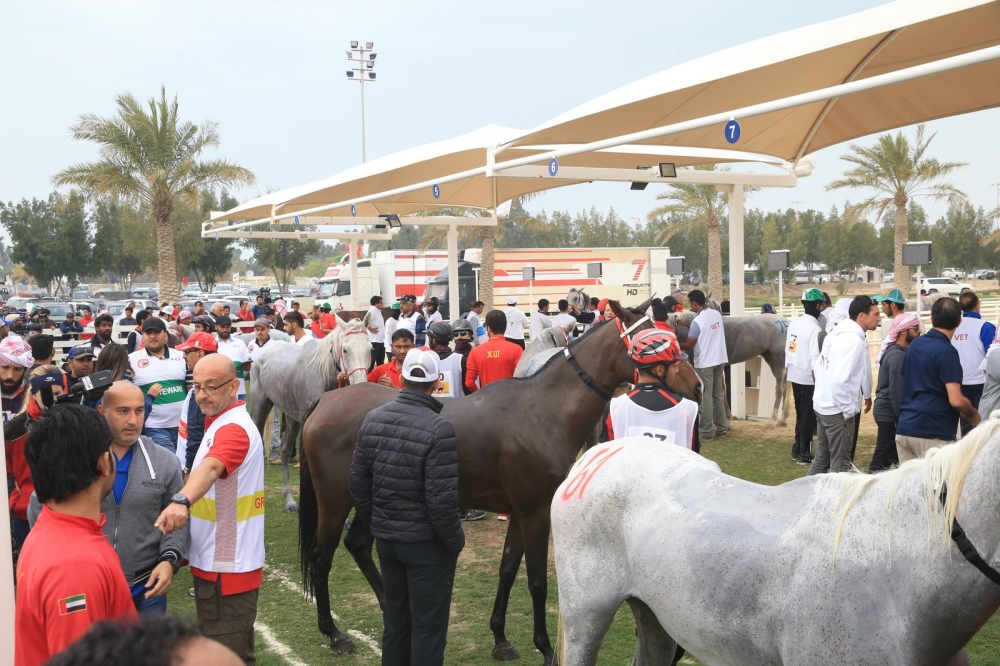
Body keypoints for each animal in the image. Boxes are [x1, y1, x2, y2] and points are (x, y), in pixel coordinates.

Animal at [248, 314, 374, 510]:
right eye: (345, 350)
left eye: (370, 349)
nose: (360, 383)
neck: (323, 373)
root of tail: (262, 353)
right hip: (260, 409)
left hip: (292, 418)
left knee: (285, 451)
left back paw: (289, 499)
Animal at [294, 300, 704, 660]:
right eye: (652, 343)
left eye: (670, 334)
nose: (696, 384)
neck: (544, 411)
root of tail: (326, 401)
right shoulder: (536, 512)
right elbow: (537, 582)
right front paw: (545, 647)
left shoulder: (520, 513)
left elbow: (507, 571)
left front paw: (501, 638)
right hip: (335, 502)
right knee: (321, 557)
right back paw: (334, 633)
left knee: (358, 545)